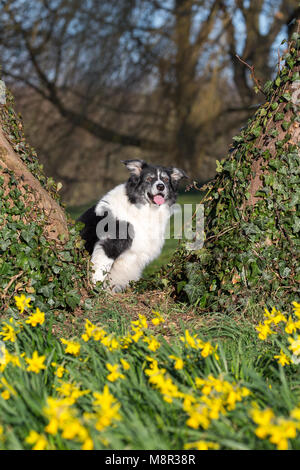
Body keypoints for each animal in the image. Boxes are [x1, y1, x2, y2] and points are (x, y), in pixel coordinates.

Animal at [78, 160, 185, 292]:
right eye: (149, 178)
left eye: (165, 179)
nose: (161, 186)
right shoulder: (109, 245)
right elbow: (98, 274)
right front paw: (96, 291)